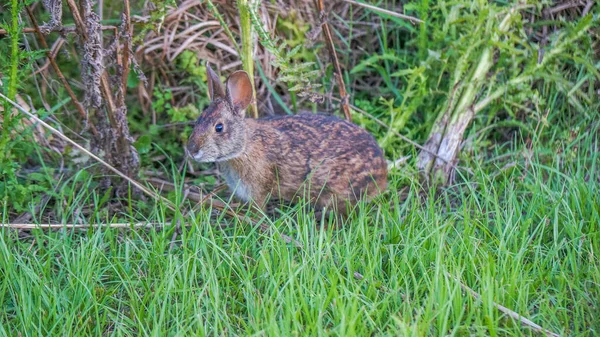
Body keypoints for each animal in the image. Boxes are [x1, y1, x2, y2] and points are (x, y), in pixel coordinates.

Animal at [185, 65, 386, 217]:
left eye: (219, 128)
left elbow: (259, 209)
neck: (244, 147)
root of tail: (382, 173)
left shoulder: (257, 190)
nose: (192, 150)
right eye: (199, 120)